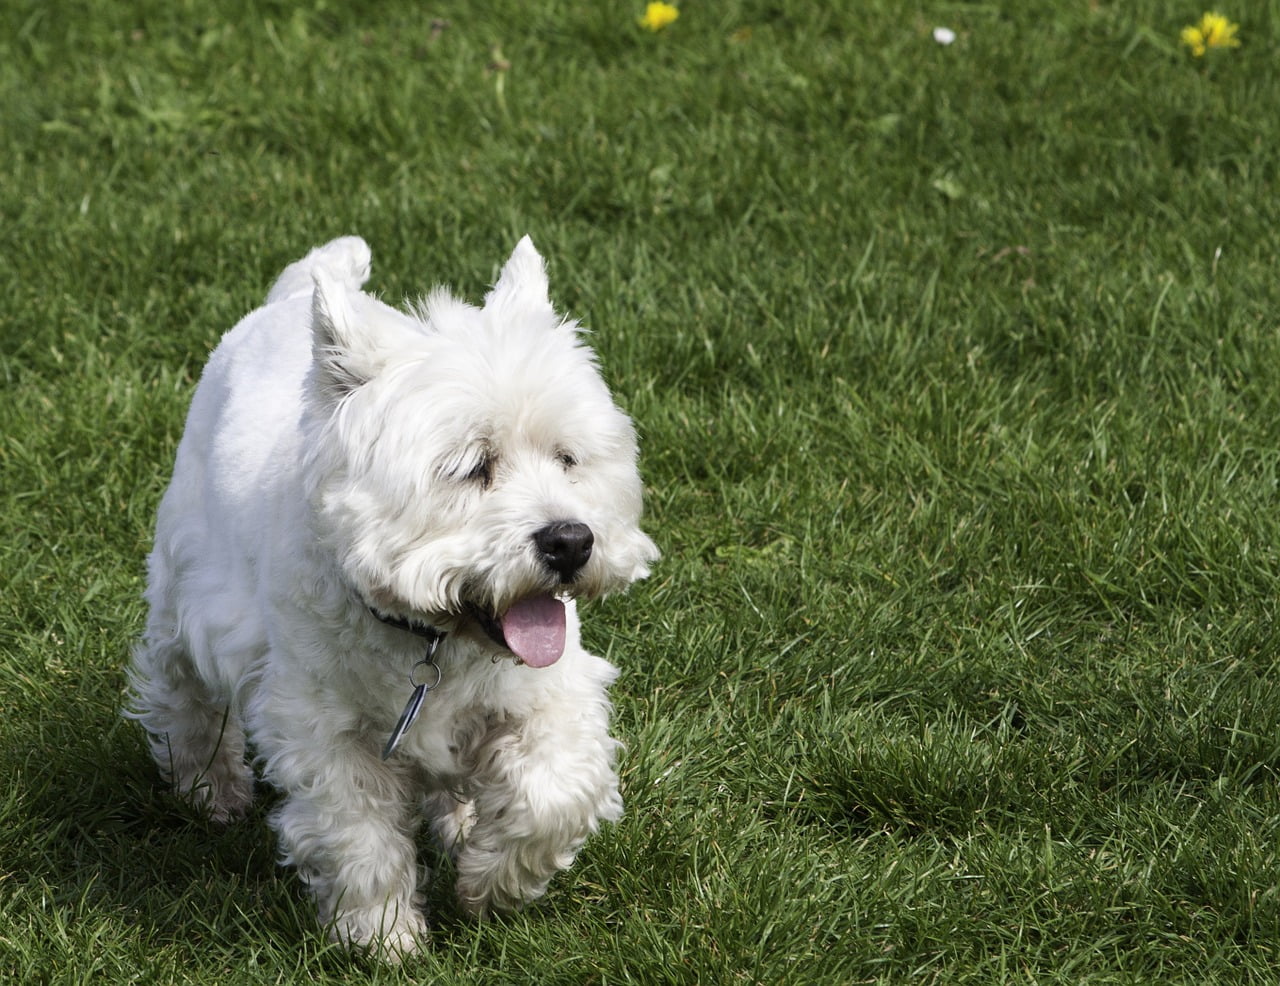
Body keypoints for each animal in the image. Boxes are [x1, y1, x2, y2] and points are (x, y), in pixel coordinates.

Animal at [127, 234, 660, 947]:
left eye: (568, 458)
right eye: (472, 467)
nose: (571, 541)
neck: (432, 639)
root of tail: (289, 297)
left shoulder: (550, 695)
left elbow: (553, 794)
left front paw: (489, 883)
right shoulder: (322, 727)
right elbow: (358, 836)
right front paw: (383, 936)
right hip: (183, 591)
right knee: (182, 692)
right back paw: (210, 791)